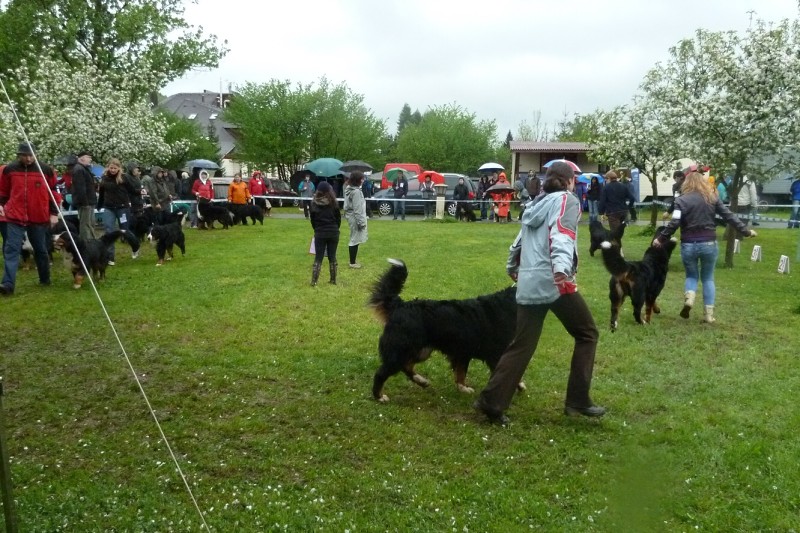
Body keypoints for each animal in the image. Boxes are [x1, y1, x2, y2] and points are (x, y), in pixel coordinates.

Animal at [368, 260, 524, 402]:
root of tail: (400, 305)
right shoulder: (496, 353)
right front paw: (519, 385)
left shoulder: (463, 352)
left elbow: (461, 373)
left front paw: (463, 388)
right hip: (402, 350)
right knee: (381, 373)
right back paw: (379, 396)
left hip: (421, 351)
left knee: (407, 366)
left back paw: (422, 381)